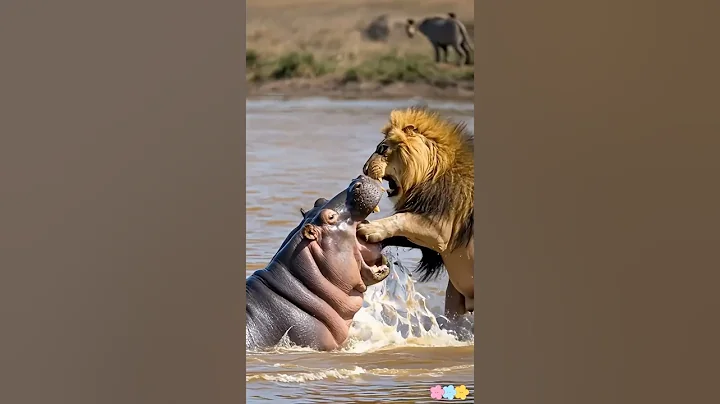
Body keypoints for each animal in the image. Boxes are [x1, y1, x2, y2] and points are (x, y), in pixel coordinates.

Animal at [357, 107, 474, 322]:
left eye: (382, 149)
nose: (365, 168)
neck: (433, 172)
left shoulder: (441, 230)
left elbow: (401, 218)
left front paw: (370, 228)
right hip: (454, 296)